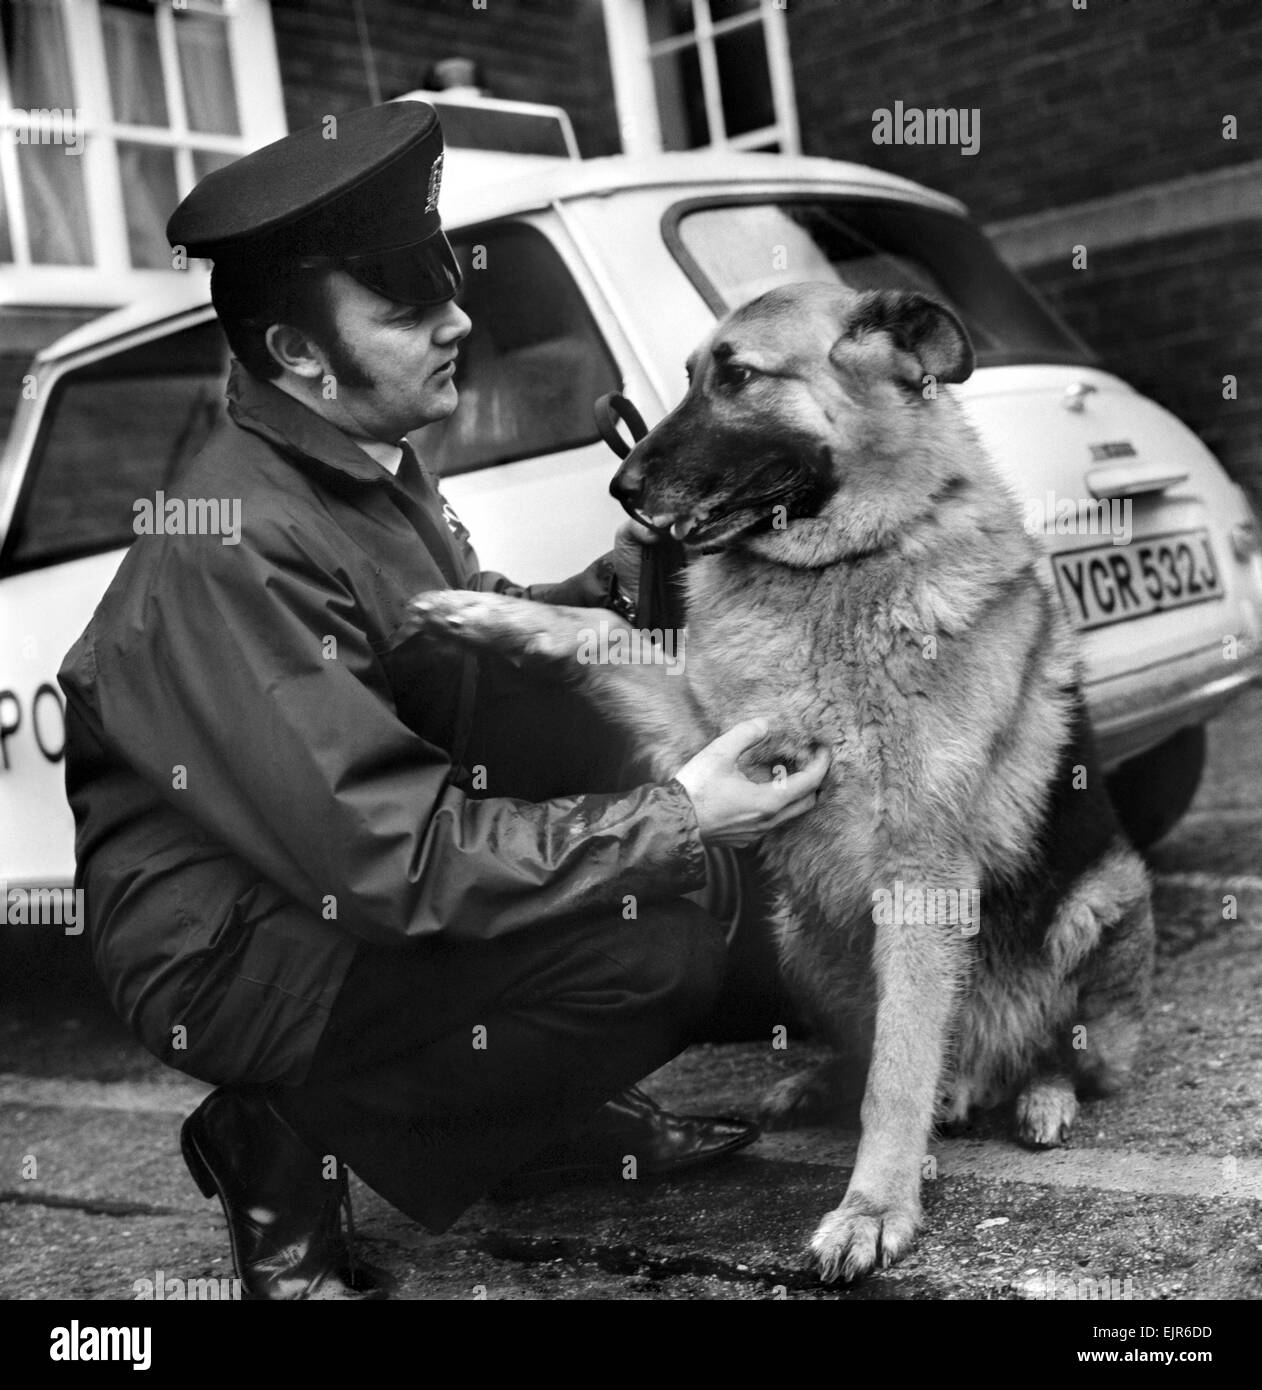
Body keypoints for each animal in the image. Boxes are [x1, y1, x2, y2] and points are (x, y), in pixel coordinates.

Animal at [411, 282, 1150, 1278]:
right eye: (691, 374)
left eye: (739, 377)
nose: (622, 489)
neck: (839, 568)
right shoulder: (712, 740)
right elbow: (605, 635)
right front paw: (481, 612)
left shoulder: (921, 876)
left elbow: (899, 1076)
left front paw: (875, 1209)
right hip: (801, 932)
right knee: (872, 1040)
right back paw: (825, 1081)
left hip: (1098, 902)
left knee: (1054, 1049)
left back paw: (1040, 1095)